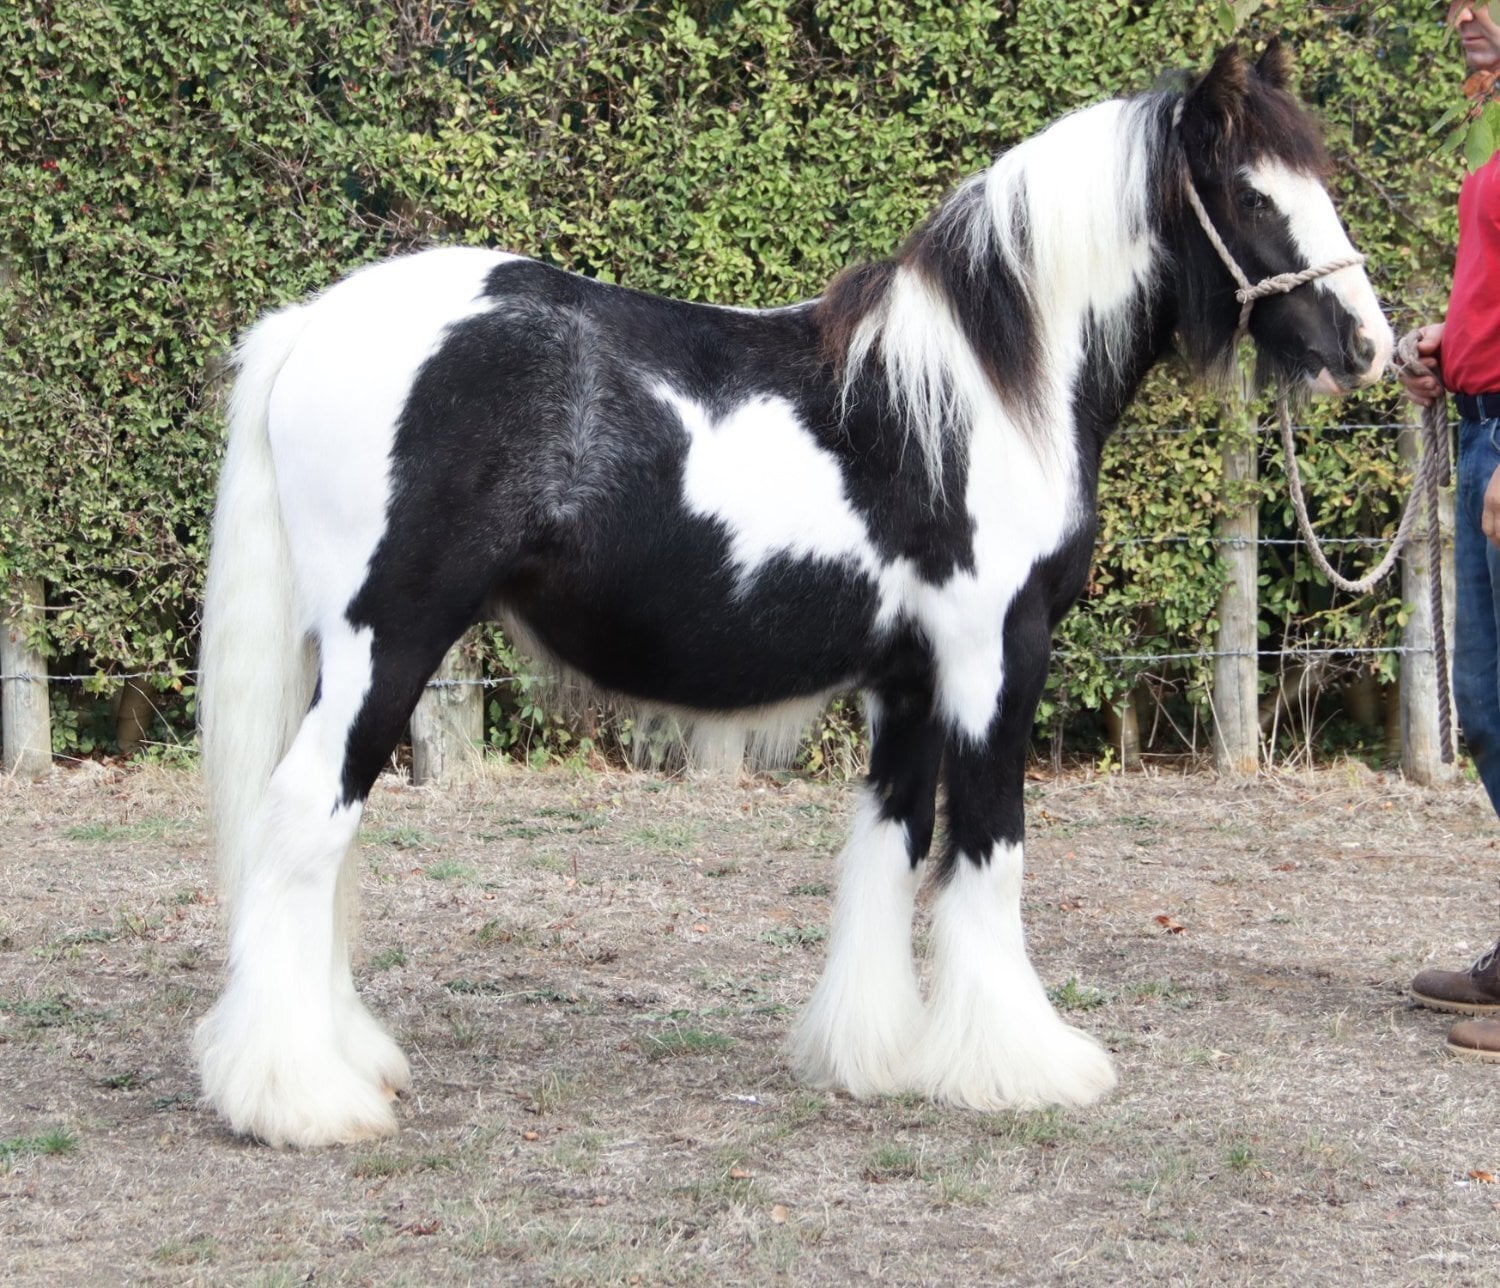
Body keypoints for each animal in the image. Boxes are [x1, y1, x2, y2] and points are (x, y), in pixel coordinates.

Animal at [195, 42, 1392, 1147]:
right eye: (1251, 193)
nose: (1367, 345)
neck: (984, 393)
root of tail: (313, 325)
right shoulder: (998, 655)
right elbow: (989, 848)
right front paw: (1022, 1066)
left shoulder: (910, 679)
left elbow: (893, 843)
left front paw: (875, 1056)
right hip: (387, 644)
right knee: (306, 818)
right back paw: (300, 1099)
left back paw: (342, 1057)